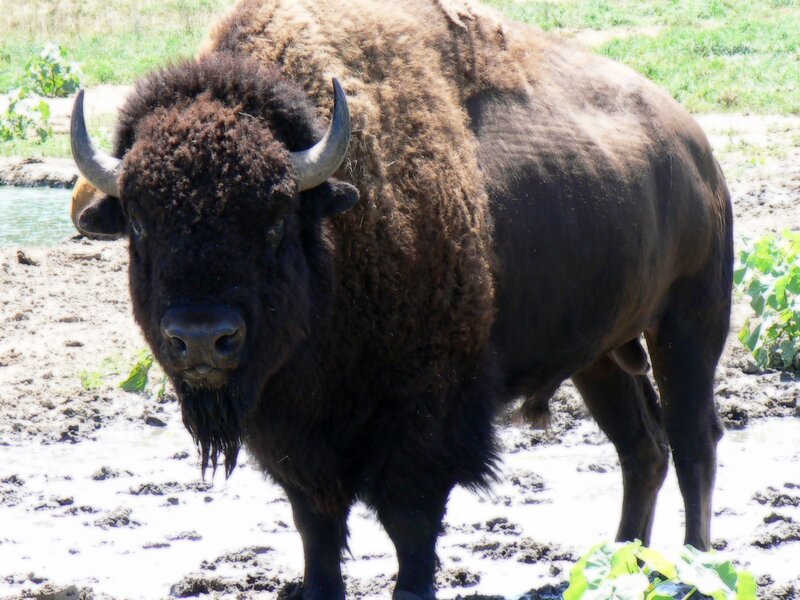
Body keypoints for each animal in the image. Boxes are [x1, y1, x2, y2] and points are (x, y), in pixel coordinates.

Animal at [70, 1, 733, 598]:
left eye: (275, 217)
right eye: (141, 222)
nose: (203, 337)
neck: (333, 231)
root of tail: (696, 147)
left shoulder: (424, 416)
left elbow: (409, 521)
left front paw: (412, 588)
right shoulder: (294, 437)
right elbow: (316, 524)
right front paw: (318, 588)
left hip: (688, 328)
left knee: (693, 440)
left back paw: (692, 568)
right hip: (602, 356)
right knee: (642, 448)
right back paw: (622, 564)